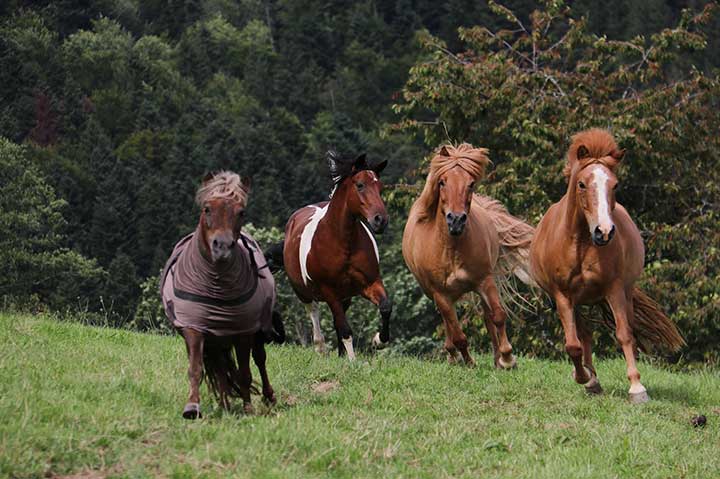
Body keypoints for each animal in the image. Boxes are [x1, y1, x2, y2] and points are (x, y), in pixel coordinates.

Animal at [161, 172, 284, 420]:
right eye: (207, 209)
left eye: (241, 212)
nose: (222, 247)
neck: (216, 283)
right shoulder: (194, 328)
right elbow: (196, 369)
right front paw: (192, 407)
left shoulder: (243, 332)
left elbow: (245, 373)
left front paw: (248, 408)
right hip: (216, 341)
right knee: (219, 368)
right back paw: (224, 405)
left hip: (256, 332)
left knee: (260, 359)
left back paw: (268, 397)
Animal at [270, 152, 390, 358]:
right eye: (360, 185)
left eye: (380, 187)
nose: (380, 220)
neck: (343, 243)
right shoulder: (329, 291)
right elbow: (345, 329)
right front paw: (352, 360)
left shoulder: (370, 283)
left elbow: (385, 307)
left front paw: (377, 340)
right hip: (304, 293)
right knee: (315, 314)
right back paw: (321, 348)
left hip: (345, 297)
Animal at [402, 144, 536, 370]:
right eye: (442, 182)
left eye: (471, 183)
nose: (456, 220)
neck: (452, 249)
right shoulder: (441, 294)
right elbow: (458, 335)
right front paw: (468, 362)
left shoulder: (485, 281)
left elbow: (498, 316)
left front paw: (507, 358)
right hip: (435, 295)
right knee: (449, 325)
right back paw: (453, 356)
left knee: (488, 318)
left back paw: (496, 359)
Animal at [532, 129, 684, 404]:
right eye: (582, 184)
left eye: (615, 185)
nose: (604, 232)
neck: (582, 242)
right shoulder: (562, 296)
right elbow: (573, 344)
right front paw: (582, 377)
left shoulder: (614, 290)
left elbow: (624, 334)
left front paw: (637, 388)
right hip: (574, 302)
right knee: (584, 334)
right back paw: (590, 379)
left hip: (624, 292)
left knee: (623, 331)